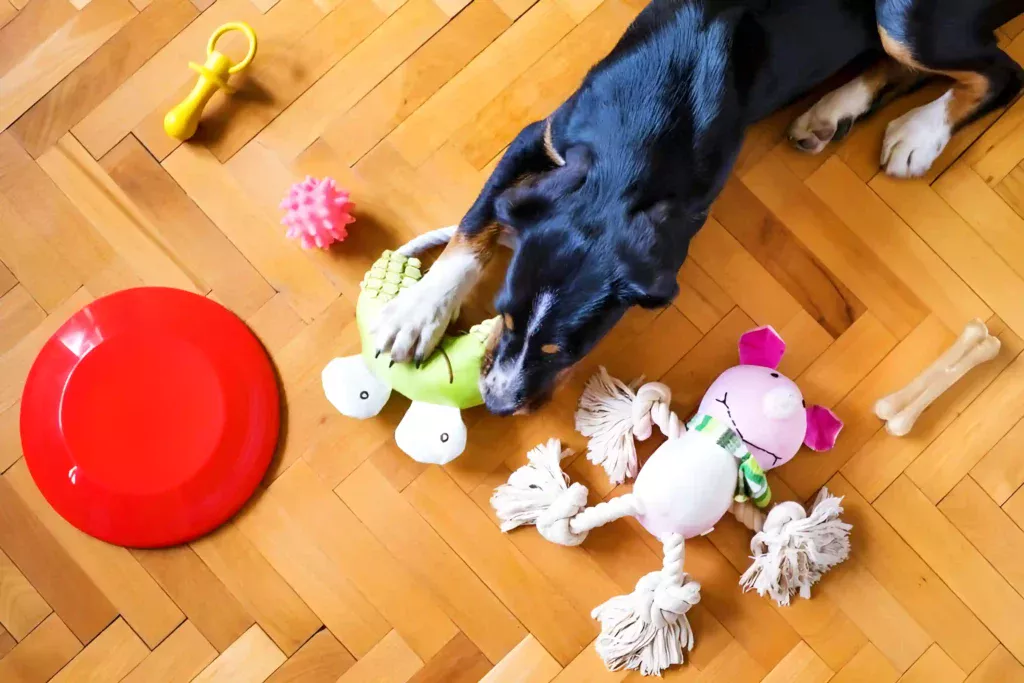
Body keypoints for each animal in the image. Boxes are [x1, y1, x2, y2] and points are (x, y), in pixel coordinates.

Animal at [374, 0, 1024, 417]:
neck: (643, 134)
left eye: (569, 350)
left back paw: (920, 133)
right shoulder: (541, 136)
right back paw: (831, 111)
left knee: (1000, 75)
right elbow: (475, 222)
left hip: (902, 14)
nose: (497, 403)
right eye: (504, 318)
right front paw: (417, 313)